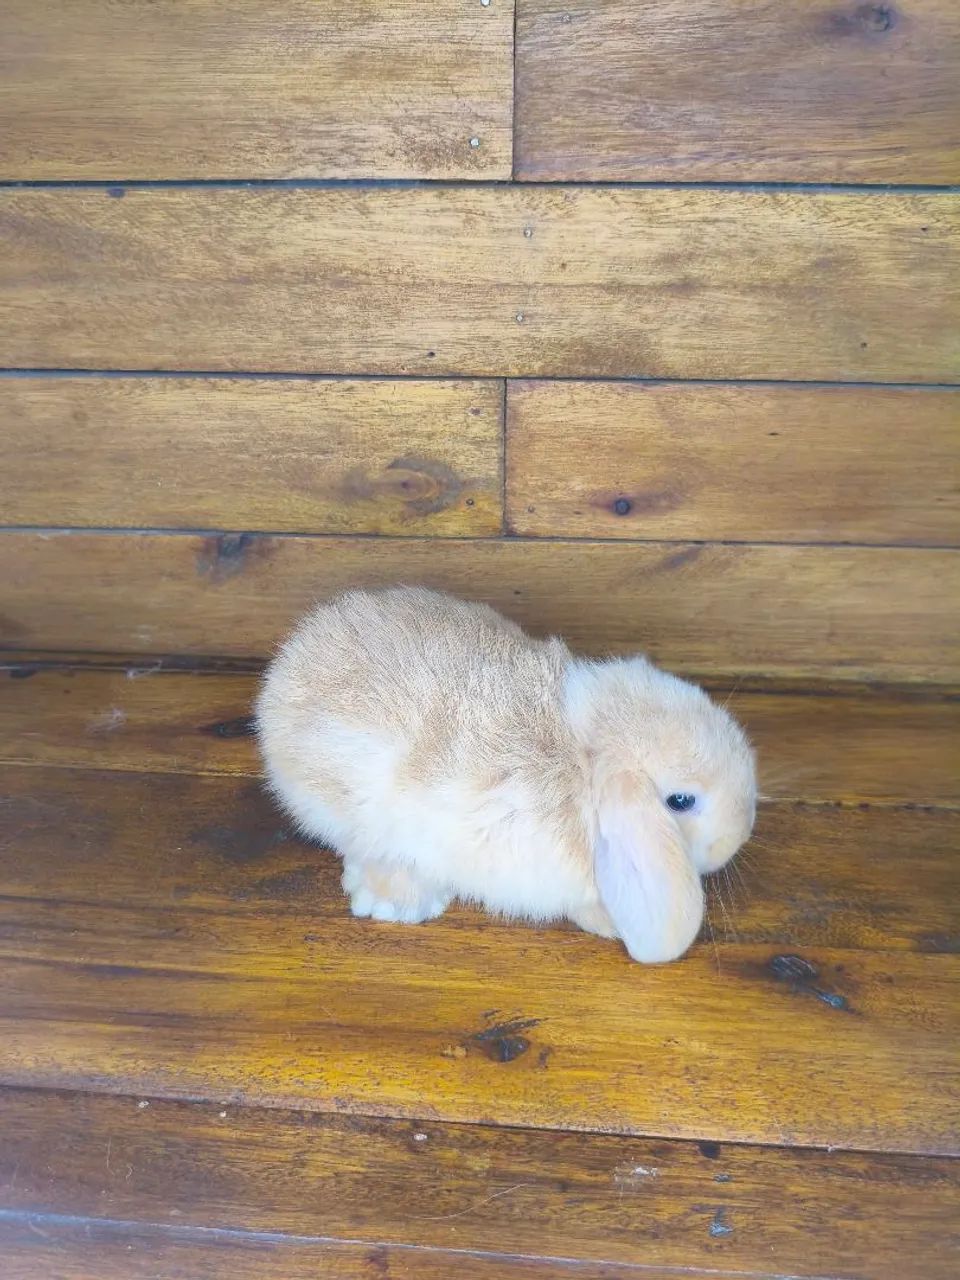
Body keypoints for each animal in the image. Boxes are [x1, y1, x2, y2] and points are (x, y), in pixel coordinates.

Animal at [255, 586, 756, 963]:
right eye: (680, 801)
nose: (740, 835)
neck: (584, 766)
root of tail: (287, 668)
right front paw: (610, 922)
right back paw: (396, 900)